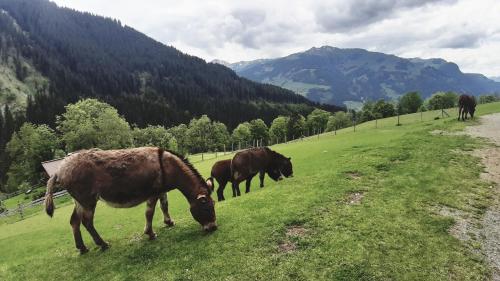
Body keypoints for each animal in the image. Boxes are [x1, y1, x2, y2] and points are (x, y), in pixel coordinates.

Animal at [46, 147, 217, 254]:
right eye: (207, 208)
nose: (214, 228)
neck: (167, 166)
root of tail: (59, 170)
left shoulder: (161, 191)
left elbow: (165, 206)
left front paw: (169, 222)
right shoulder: (153, 193)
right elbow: (150, 213)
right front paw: (150, 234)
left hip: (79, 201)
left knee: (74, 221)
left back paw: (82, 248)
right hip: (88, 200)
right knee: (87, 222)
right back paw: (103, 244)